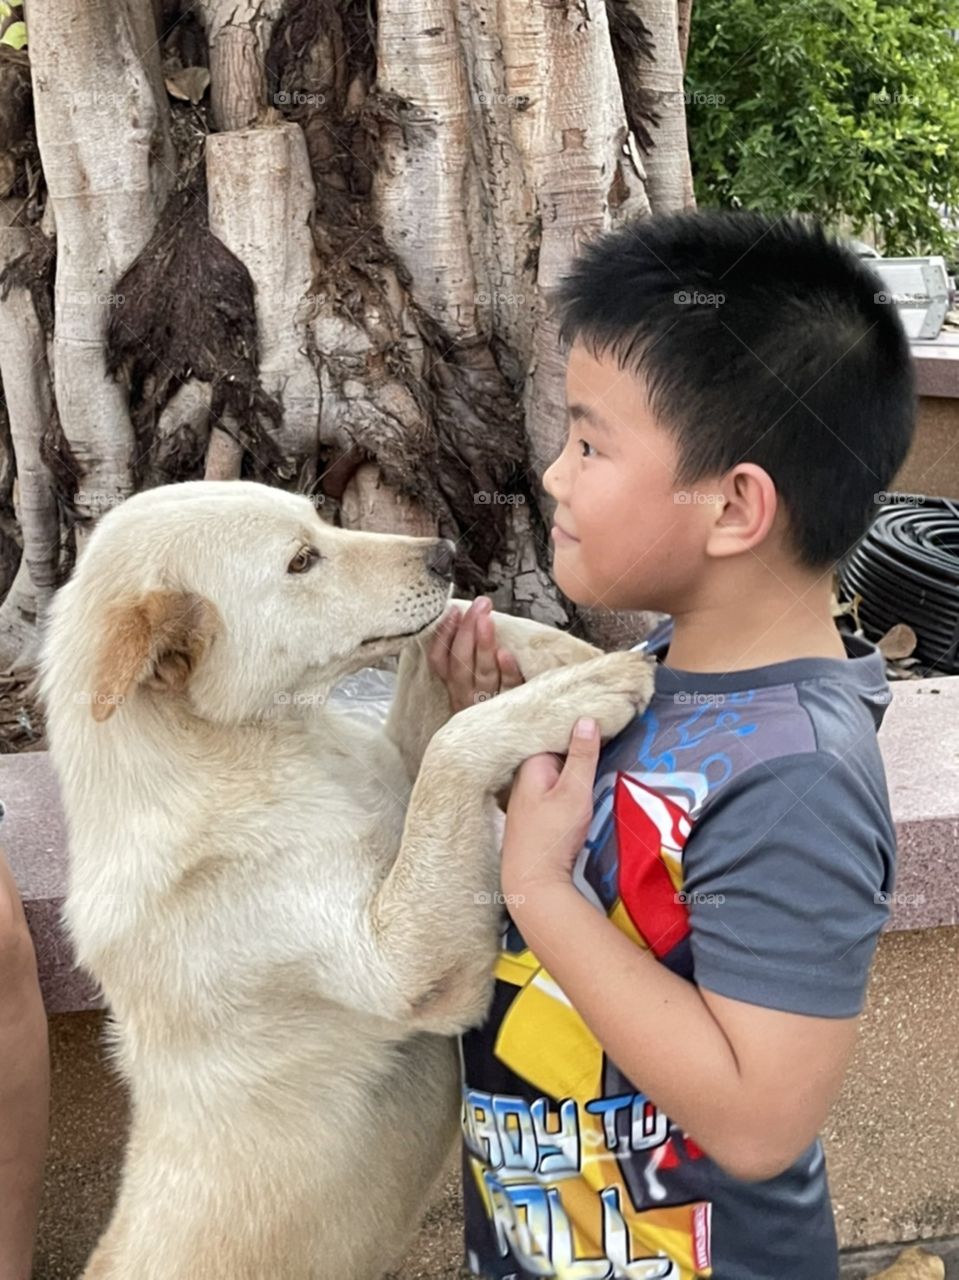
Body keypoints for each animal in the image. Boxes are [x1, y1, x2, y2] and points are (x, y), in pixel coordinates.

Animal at [35, 481, 650, 1280]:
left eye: (321, 519)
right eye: (301, 560)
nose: (444, 550)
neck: (262, 752)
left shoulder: (399, 777)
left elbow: (436, 667)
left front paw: (555, 648)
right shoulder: (407, 970)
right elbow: (454, 745)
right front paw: (577, 690)